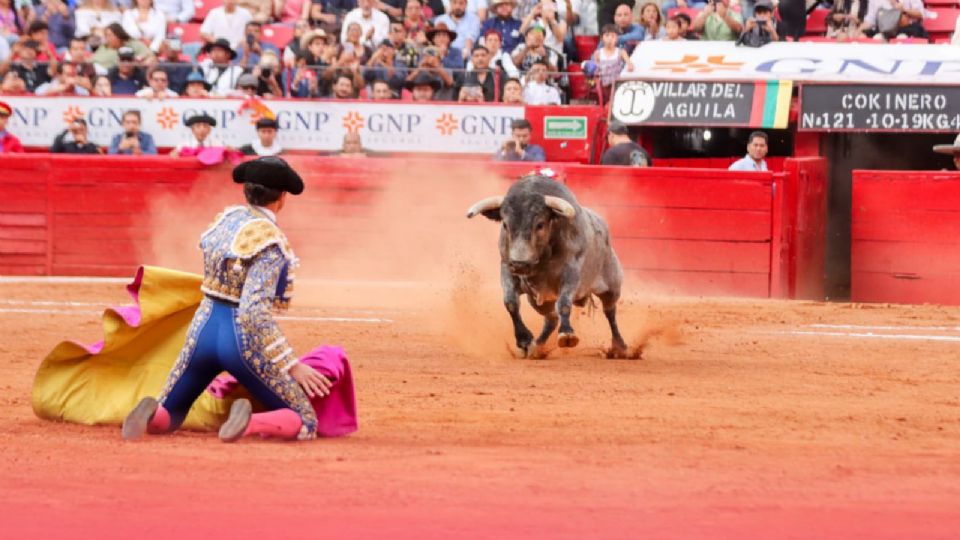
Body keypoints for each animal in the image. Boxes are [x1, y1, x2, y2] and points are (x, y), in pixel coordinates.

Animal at [466, 174, 632, 358]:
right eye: (505, 225)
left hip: (612, 286)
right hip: (537, 300)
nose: (520, 264)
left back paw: (620, 347)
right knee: (551, 319)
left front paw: (567, 334)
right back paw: (537, 347)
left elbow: (564, 303)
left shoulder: (571, 273)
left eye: (540, 224)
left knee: (610, 312)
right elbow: (511, 303)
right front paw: (524, 340)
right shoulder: (507, 268)